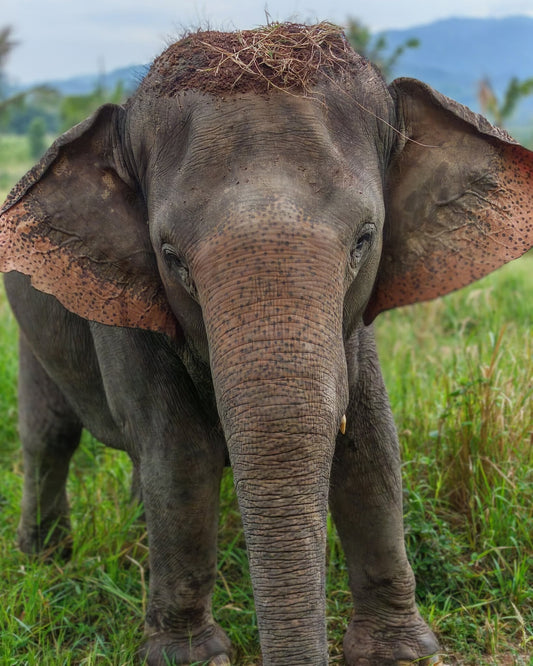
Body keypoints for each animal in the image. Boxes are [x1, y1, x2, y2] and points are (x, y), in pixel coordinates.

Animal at [1, 22, 532, 666]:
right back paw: (46, 557)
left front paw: (401, 652)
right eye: (172, 257)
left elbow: (371, 447)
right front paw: (189, 657)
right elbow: (181, 455)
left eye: (364, 239)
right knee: (51, 434)